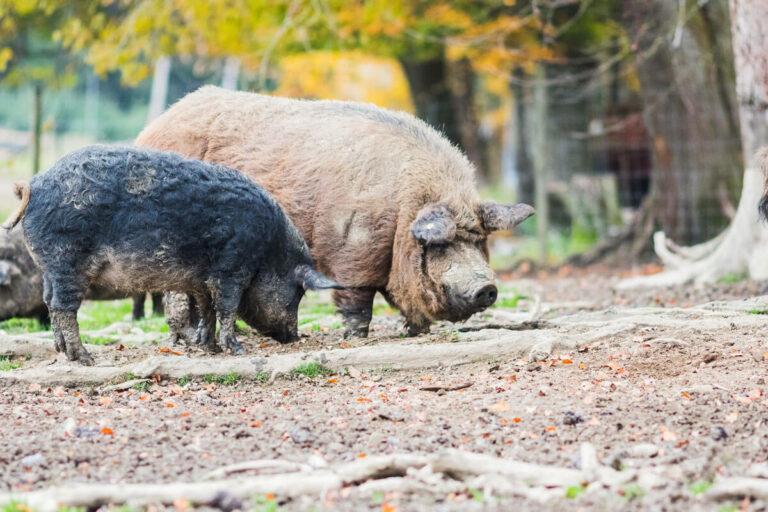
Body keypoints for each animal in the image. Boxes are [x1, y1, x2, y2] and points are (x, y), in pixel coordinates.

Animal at [136, 86, 534, 338]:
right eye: (441, 245)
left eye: (479, 241)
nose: (486, 287)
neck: (404, 207)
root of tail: (152, 127)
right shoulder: (353, 251)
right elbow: (357, 300)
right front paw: (357, 337)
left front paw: (417, 332)